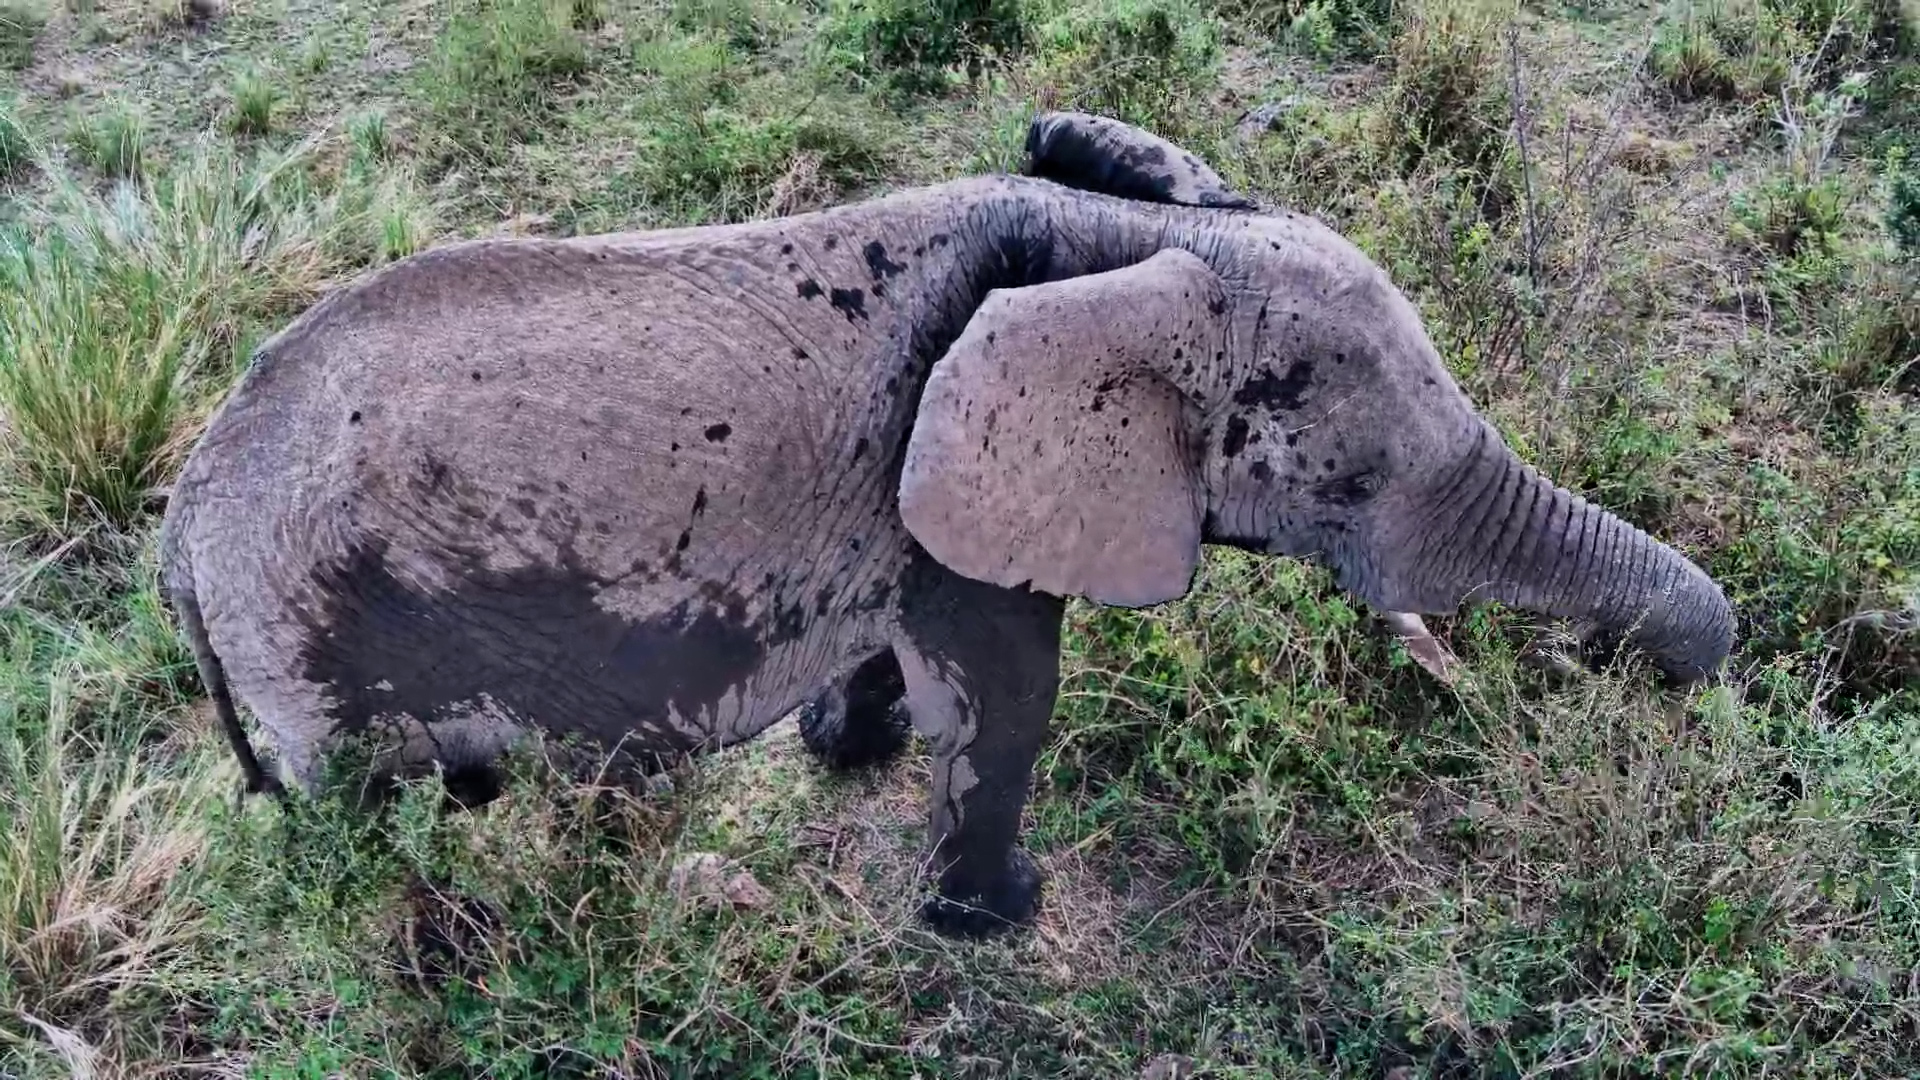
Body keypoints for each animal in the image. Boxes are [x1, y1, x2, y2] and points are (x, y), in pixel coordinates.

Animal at [158, 111, 1735, 938]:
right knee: (365, 831)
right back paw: (445, 945)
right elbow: (1012, 695)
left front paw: (845, 754)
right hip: (310, 642)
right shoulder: (963, 521)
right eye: (1343, 489)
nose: (1689, 671)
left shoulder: (905, 505)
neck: (1121, 241)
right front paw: (994, 918)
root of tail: (175, 531)